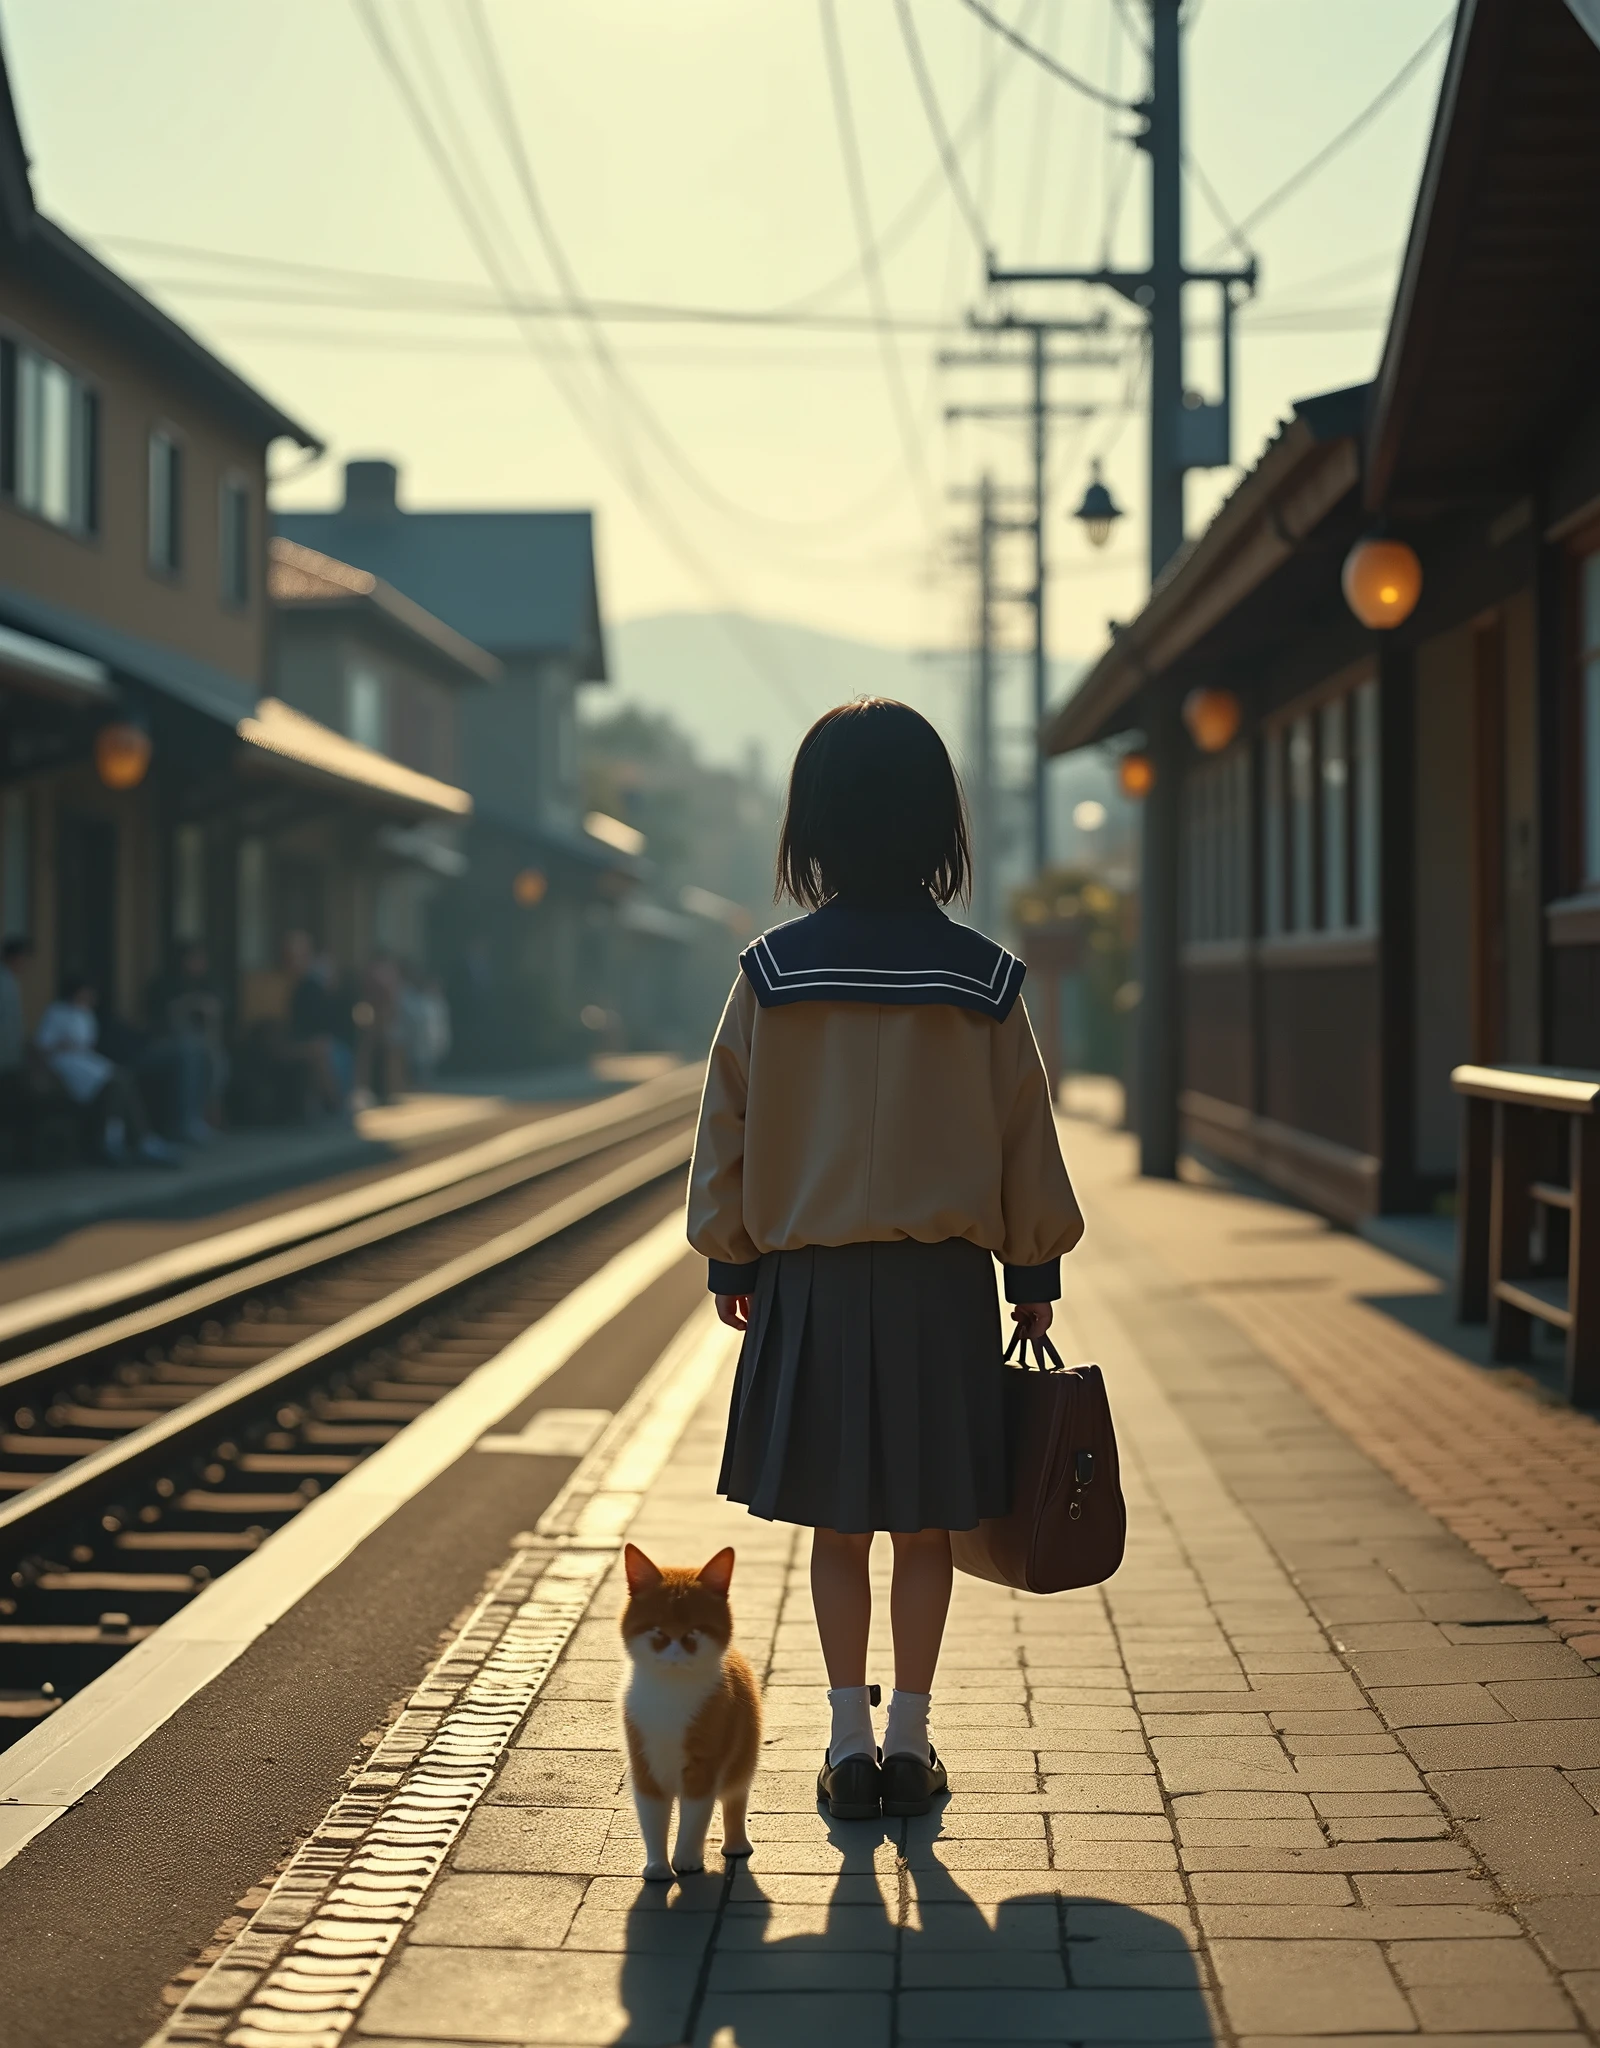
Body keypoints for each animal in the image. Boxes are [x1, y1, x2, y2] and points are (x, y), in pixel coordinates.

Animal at [618, 1540, 762, 1875]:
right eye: (658, 1630)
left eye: (695, 1631)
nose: (675, 1652)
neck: (670, 1694)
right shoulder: (644, 1760)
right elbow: (652, 1816)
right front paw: (658, 1867)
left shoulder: (705, 1763)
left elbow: (695, 1817)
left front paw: (686, 1860)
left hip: (743, 1751)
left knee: (735, 1796)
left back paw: (736, 1845)